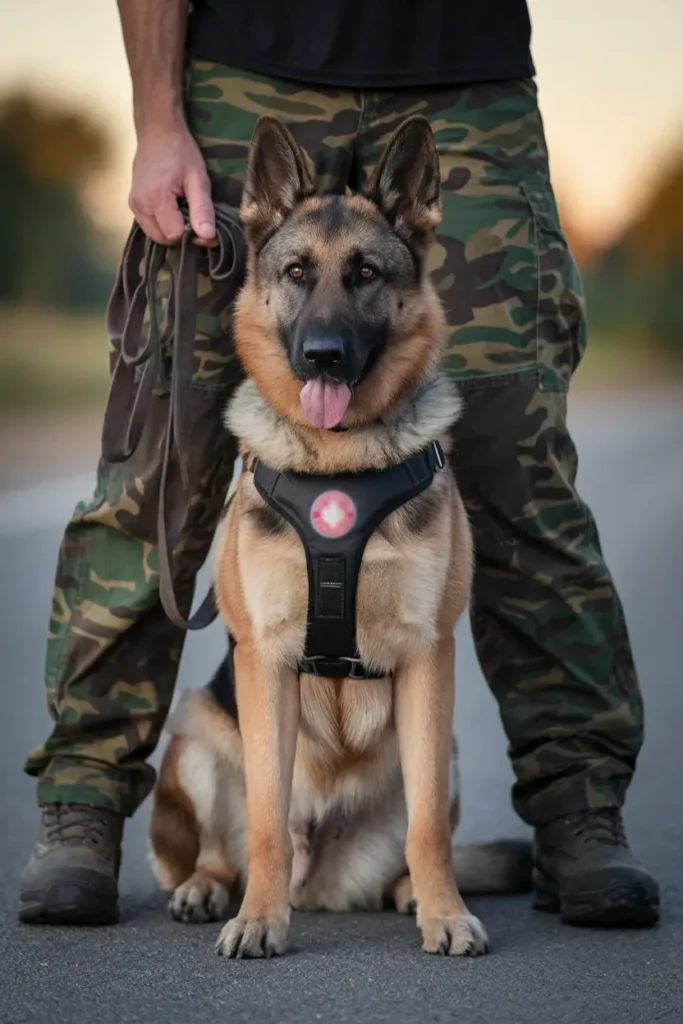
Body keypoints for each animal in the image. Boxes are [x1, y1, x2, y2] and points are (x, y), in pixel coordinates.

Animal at [149, 116, 532, 954]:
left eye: (363, 273)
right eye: (296, 271)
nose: (321, 355)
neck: (340, 461)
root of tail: (319, 879)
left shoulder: (428, 658)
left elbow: (428, 829)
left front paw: (444, 914)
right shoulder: (265, 661)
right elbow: (265, 820)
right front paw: (259, 922)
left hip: (445, 753)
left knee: (414, 839)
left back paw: (409, 895)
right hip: (194, 731)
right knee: (227, 847)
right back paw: (212, 889)